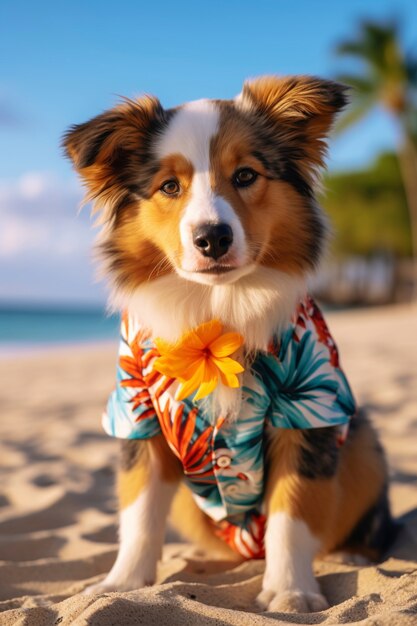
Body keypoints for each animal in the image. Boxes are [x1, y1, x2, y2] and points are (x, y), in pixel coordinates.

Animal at [63, 77, 394, 608]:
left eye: (245, 175)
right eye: (169, 186)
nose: (212, 238)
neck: (217, 310)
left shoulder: (309, 408)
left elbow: (293, 514)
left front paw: (291, 592)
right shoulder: (138, 414)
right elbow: (139, 513)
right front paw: (122, 584)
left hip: (361, 440)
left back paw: (351, 556)